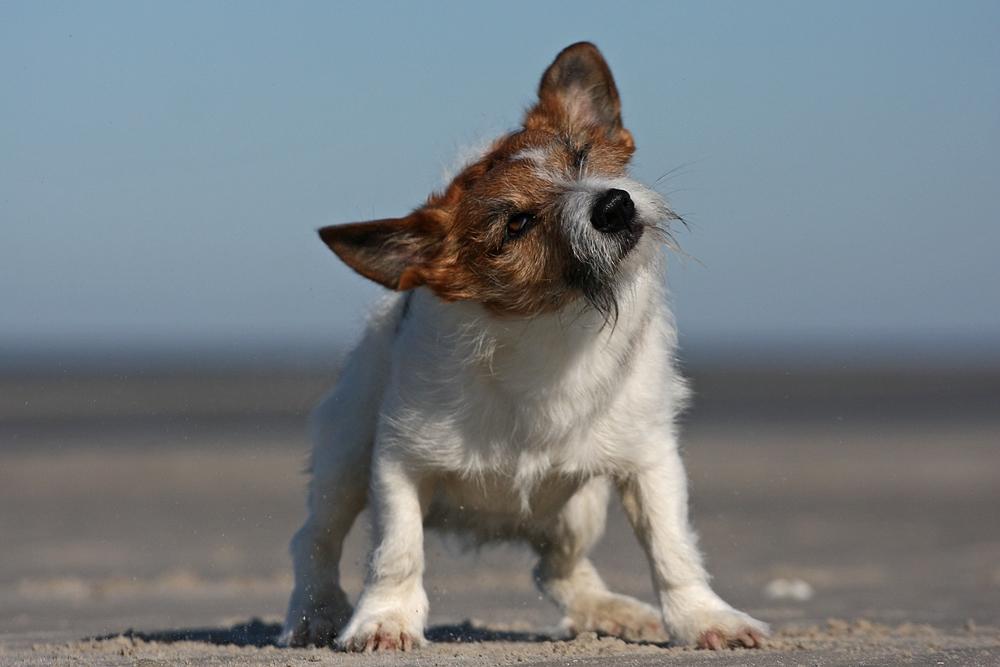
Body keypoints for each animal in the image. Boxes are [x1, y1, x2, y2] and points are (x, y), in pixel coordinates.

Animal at [280, 41, 764, 652]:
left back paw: (609, 611)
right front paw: (384, 620)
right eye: (517, 223)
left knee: (557, 570)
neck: (551, 337)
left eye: (581, 158)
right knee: (314, 539)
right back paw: (314, 613)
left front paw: (705, 618)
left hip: (580, 509)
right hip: (344, 460)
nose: (615, 205)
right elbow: (397, 551)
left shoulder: (651, 461)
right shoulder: (398, 462)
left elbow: (672, 549)